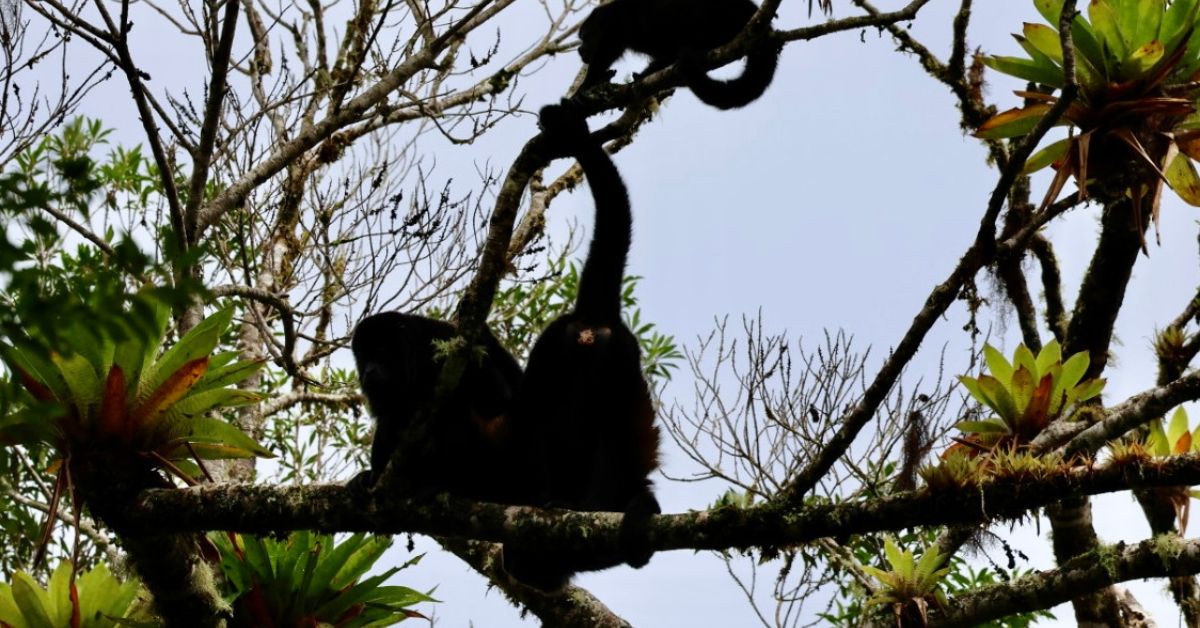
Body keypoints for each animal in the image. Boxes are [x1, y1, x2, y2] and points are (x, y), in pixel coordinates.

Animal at [347, 312, 528, 503]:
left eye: (380, 351)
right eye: (363, 357)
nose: (368, 371)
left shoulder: (442, 338)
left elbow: (497, 396)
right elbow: (387, 418)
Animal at [575, 0, 780, 110]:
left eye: (585, 37)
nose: (580, 50)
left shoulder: (617, 27)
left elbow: (605, 53)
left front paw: (583, 88)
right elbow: (666, 57)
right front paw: (643, 75)